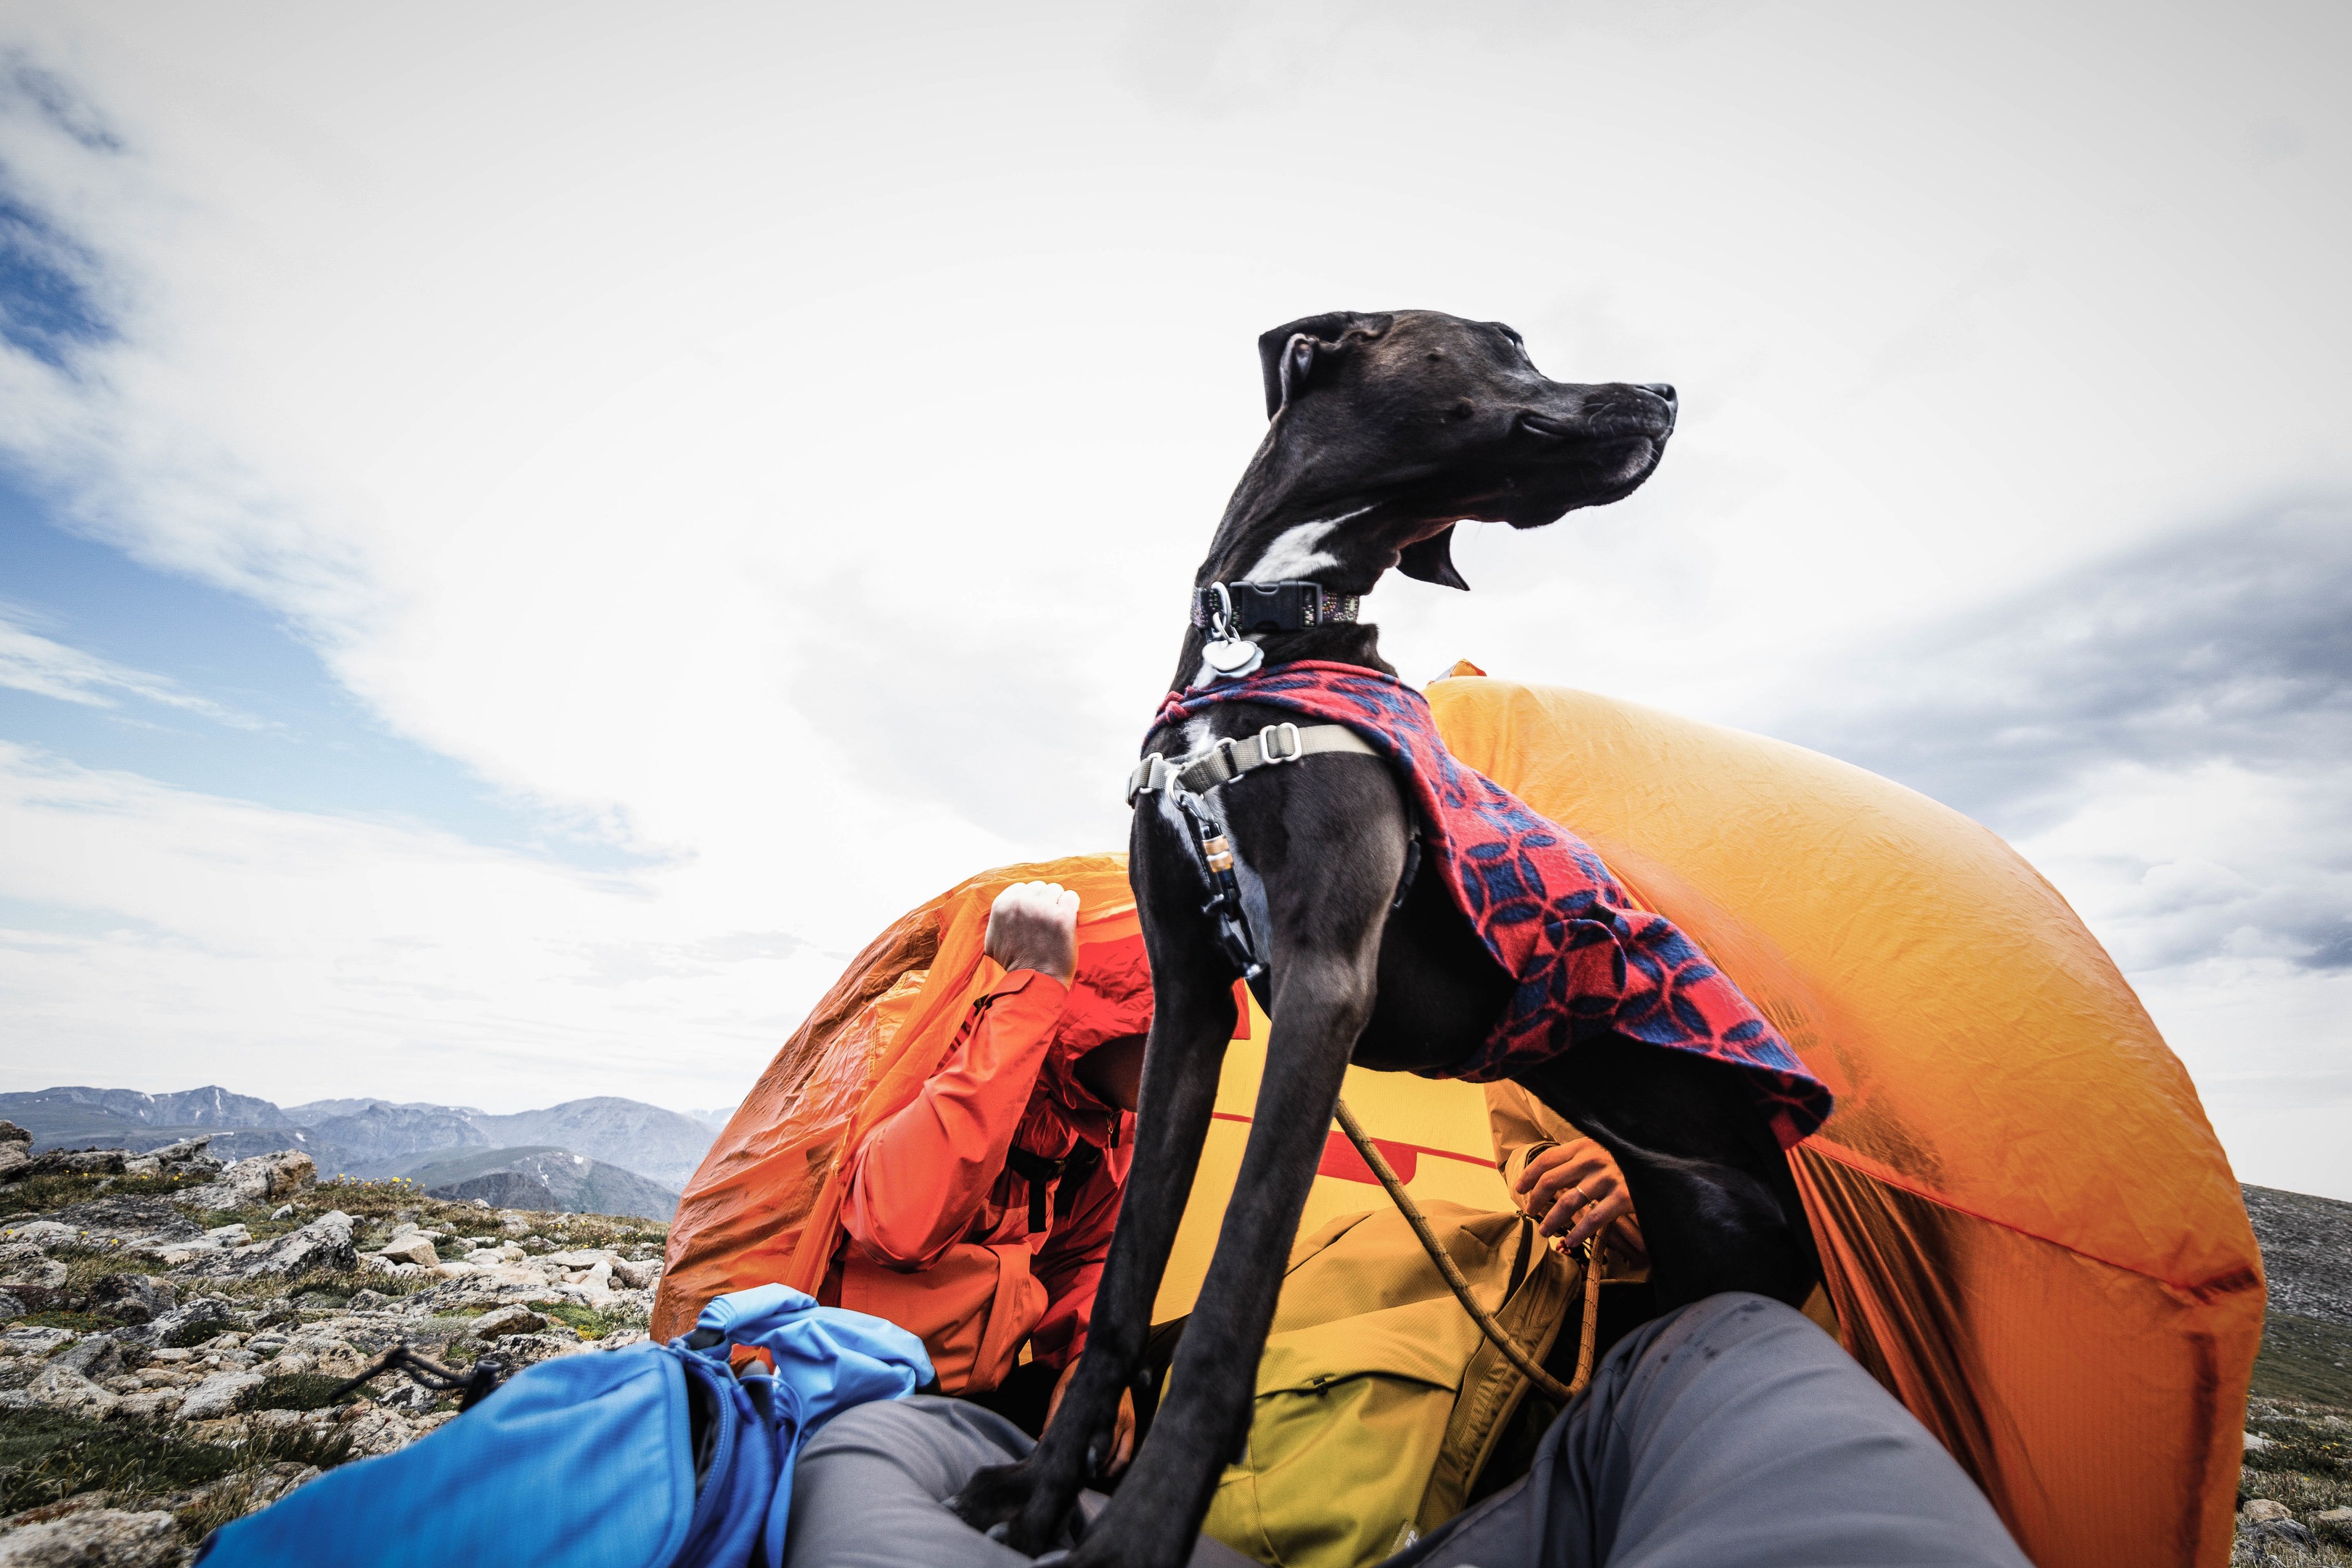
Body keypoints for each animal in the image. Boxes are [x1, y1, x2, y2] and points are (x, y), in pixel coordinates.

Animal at [955, 310, 1816, 1568]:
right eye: (1504, 341)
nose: (1663, 391)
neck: (1262, 636)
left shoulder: (1324, 981)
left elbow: (1230, 1302)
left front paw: (1139, 1535)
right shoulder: (1193, 1004)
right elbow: (1124, 1288)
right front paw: (1041, 1492)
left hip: (1718, 1214)